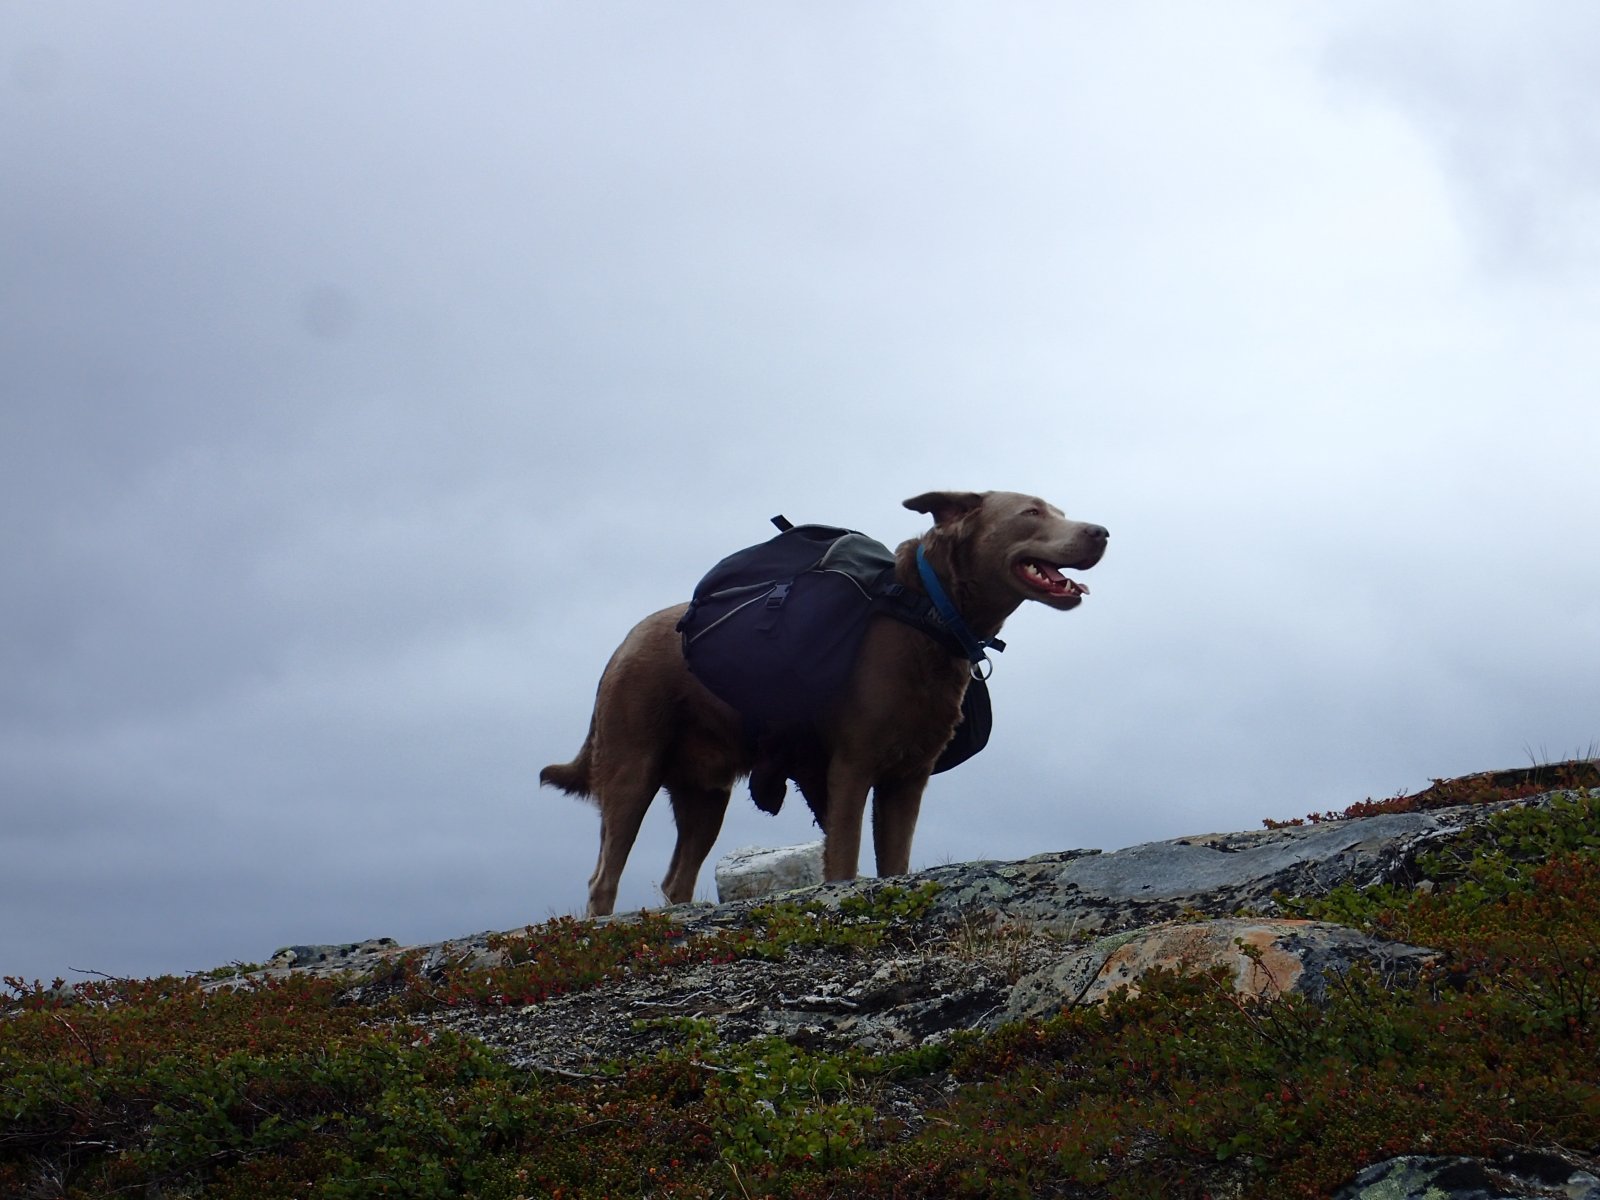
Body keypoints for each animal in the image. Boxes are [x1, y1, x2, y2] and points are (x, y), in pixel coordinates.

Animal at [541, 490, 1108, 916]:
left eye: (1058, 510)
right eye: (1031, 512)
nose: (1101, 532)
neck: (926, 613)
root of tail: (622, 644)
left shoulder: (907, 779)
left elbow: (894, 863)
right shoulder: (850, 769)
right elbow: (845, 862)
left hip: (706, 795)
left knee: (676, 880)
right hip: (631, 767)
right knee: (603, 877)